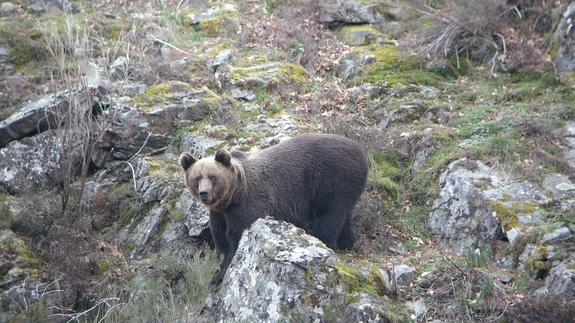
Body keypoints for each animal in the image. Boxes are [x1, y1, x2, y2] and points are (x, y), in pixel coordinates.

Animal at [180, 133, 368, 284]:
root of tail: (360, 150)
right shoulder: (219, 213)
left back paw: (327, 242)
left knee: (329, 218)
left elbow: (237, 239)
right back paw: (347, 243)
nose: (204, 193)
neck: (233, 196)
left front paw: (221, 273)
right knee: (343, 217)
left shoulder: (248, 206)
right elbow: (219, 236)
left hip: (332, 181)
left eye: (213, 176)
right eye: (197, 178)